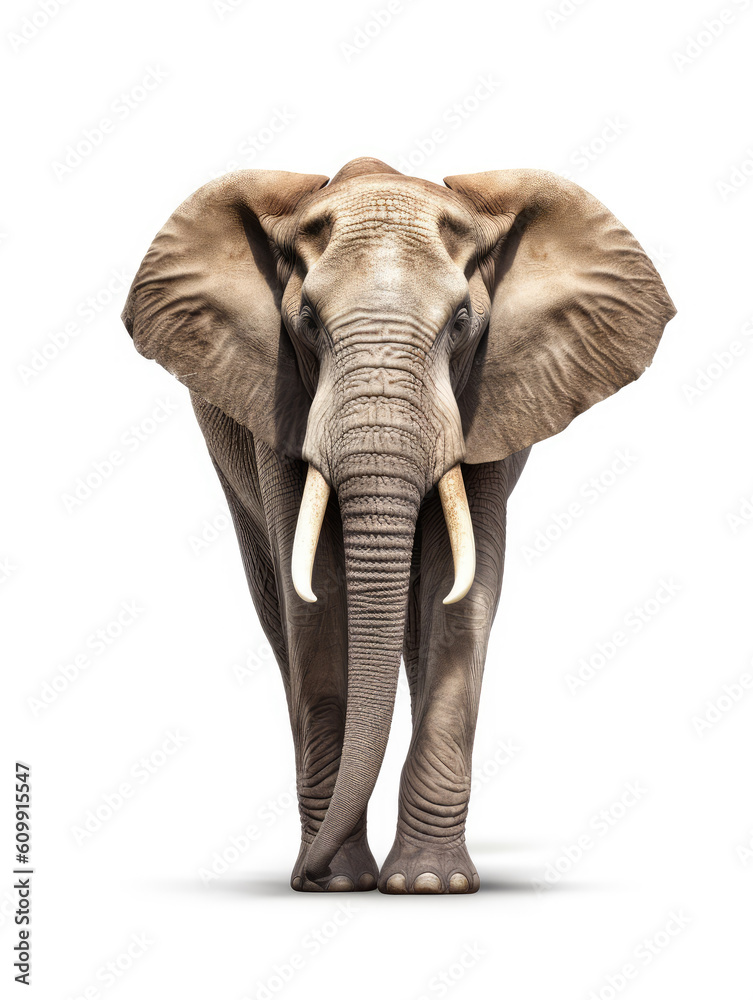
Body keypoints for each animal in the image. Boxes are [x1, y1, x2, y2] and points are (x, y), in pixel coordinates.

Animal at [122, 157, 675, 894]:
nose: (307, 876)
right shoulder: (279, 402)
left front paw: (429, 886)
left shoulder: (488, 401)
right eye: (305, 320)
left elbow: (459, 593)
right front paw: (341, 882)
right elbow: (318, 599)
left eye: (462, 321)